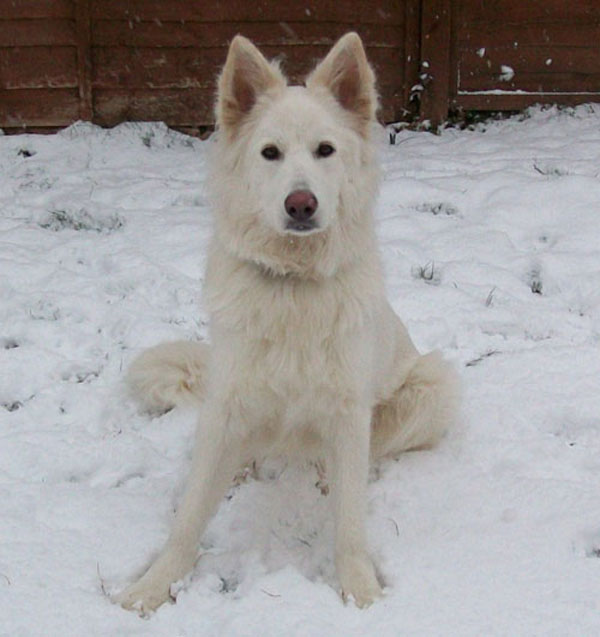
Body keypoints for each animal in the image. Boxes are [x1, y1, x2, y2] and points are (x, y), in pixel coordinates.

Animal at [117, 31, 460, 612]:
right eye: (269, 153)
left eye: (325, 150)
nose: (301, 204)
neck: (293, 285)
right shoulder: (228, 404)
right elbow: (189, 517)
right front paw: (152, 587)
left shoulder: (348, 412)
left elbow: (349, 525)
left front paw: (361, 592)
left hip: (432, 384)